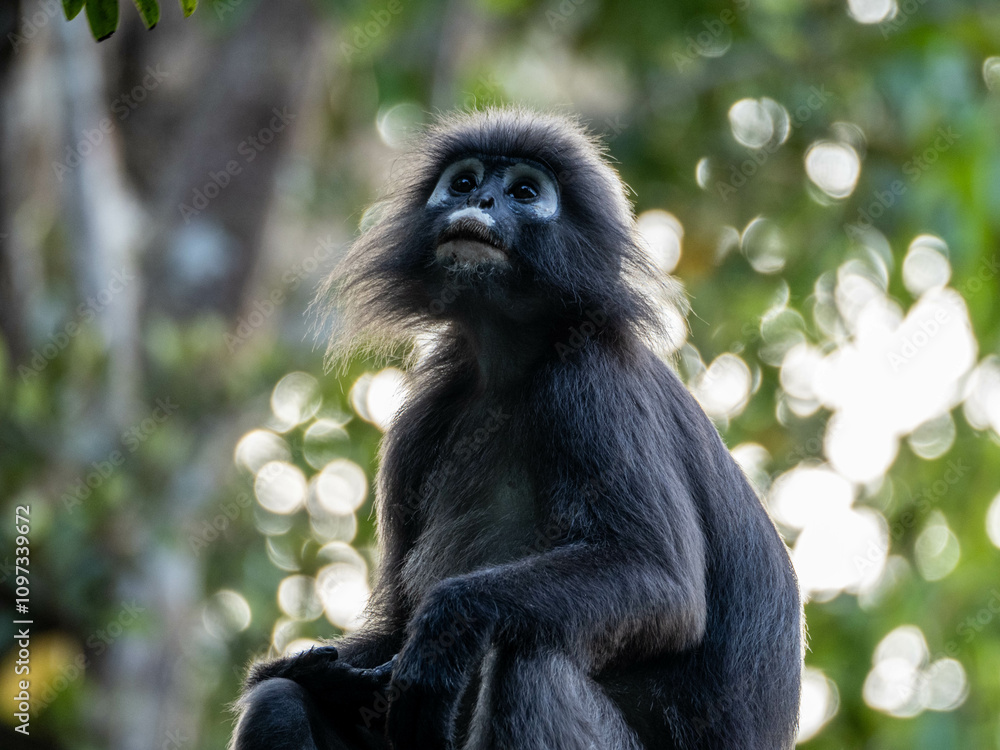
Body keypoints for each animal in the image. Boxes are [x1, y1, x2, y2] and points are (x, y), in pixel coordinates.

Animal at [231, 107, 802, 750]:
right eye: (463, 182)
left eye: (525, 193)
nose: (479, 200)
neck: (512, 367)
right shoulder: (425, 416)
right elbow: (383, 634)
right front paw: (301, 669)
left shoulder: (592, 382)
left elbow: (662, 579)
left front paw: (446, 630)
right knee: (280, 703)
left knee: (530, 660)